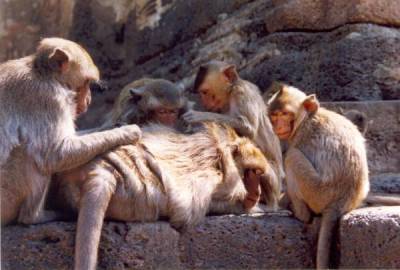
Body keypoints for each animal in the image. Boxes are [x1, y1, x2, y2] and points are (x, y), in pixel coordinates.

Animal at [0, 37, 142, 225]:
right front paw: (129, 131)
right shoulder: (49, 99)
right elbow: (55, 153)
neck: (44, 75)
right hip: (8, 193)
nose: (88, 100)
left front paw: (114, 126)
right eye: (86, 83)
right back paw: (34, 217)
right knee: (32, 151)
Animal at [54, 123, 278, 270]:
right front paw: (256, 205)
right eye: (251, 174)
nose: (256, 192)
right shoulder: (213, 179)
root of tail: (104, 169)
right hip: (140, 194)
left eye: (258, 175)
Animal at [183, 61, 282, 209]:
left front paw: (199, 116)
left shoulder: (242, 92)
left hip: (272, 182)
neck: (230, 93)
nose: (204, 102)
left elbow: (248, 129)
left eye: (205, 92)